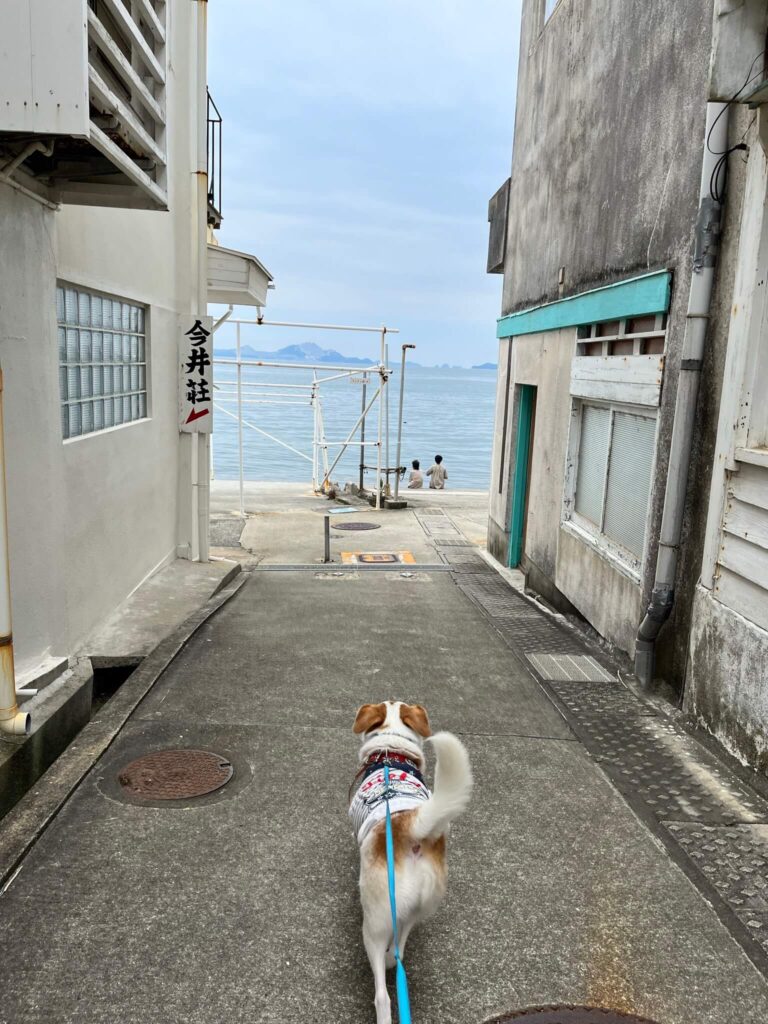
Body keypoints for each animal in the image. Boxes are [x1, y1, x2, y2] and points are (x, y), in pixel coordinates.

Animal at [350, 704, 473, 1024]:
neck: (391, 751)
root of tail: (411, 827)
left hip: (375, 922)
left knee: (382, 994)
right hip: (415, 906)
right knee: (399, 950)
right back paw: (393, 958)